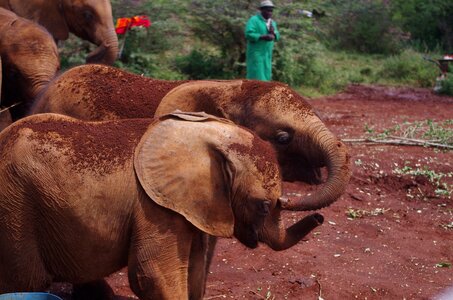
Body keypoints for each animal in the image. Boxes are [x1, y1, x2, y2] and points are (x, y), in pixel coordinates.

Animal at [0, 111, 324, 298]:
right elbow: (151, 274)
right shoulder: (154, 206)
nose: (320, 218)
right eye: (264, 206)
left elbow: (194, 271)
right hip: (14, 206)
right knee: (26, 283)